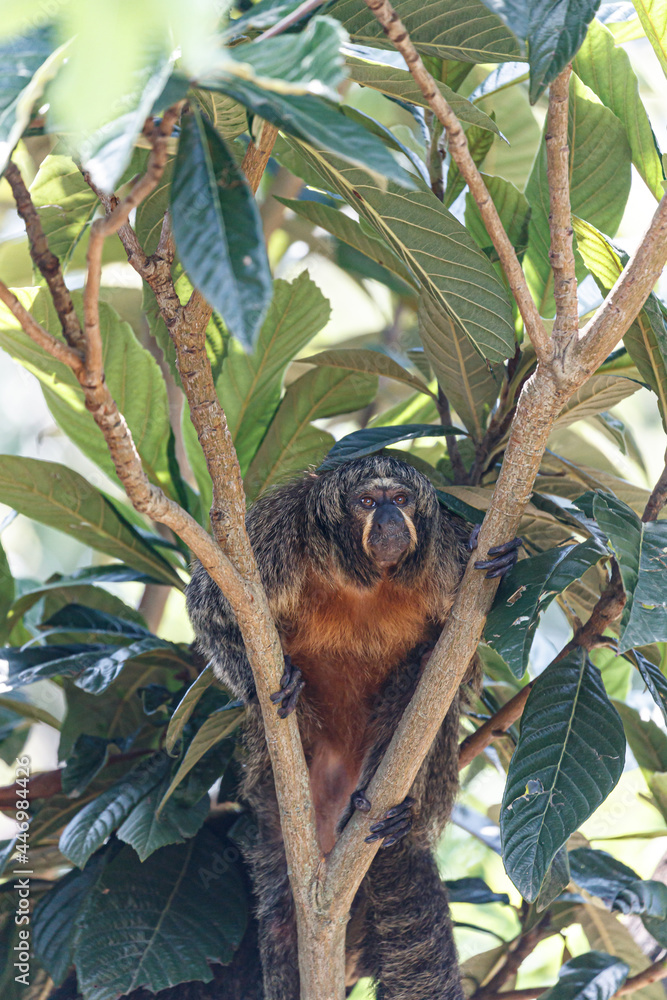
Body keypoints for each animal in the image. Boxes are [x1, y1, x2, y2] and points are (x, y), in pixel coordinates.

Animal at [185, 454, 521, 1000]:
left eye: (400, 499)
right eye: (366, 501)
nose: (388, 518)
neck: (366, 583)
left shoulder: (446, 558)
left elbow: (461, 670)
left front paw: (501, 560)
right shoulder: (272, 538)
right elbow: (212, 609)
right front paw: (272, 685)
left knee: (427, 697)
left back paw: (396, 812)